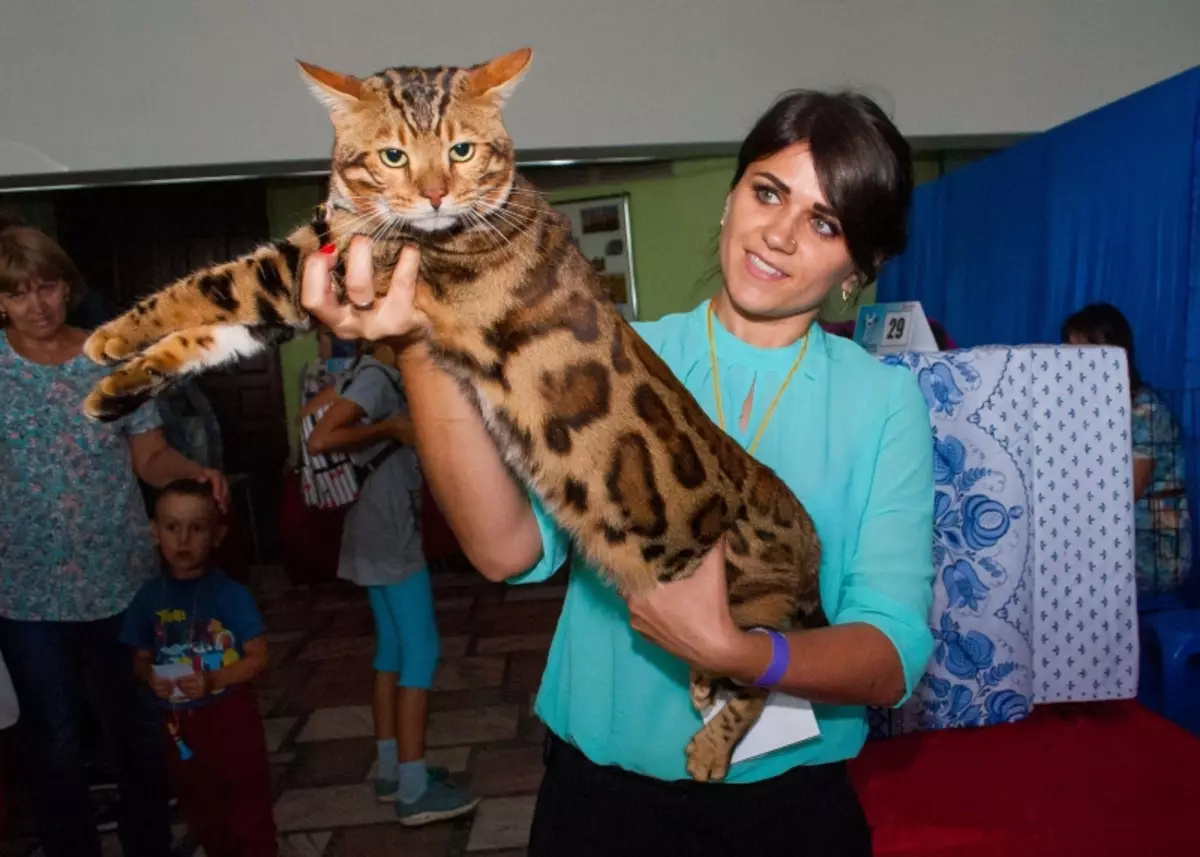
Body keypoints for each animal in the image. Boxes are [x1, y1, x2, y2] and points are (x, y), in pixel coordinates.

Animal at [84, 50, 825, 777]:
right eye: (392, 156)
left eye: (461, 150)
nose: (436, 194)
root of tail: (808, 539)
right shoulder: (316, 258)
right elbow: (208, 325)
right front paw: (115, 379)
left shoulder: (328, 266)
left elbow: (212, 285)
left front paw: (107, 339)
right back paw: (702, 683)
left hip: (737, 599)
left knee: (767, 664)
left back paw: (712, 743)